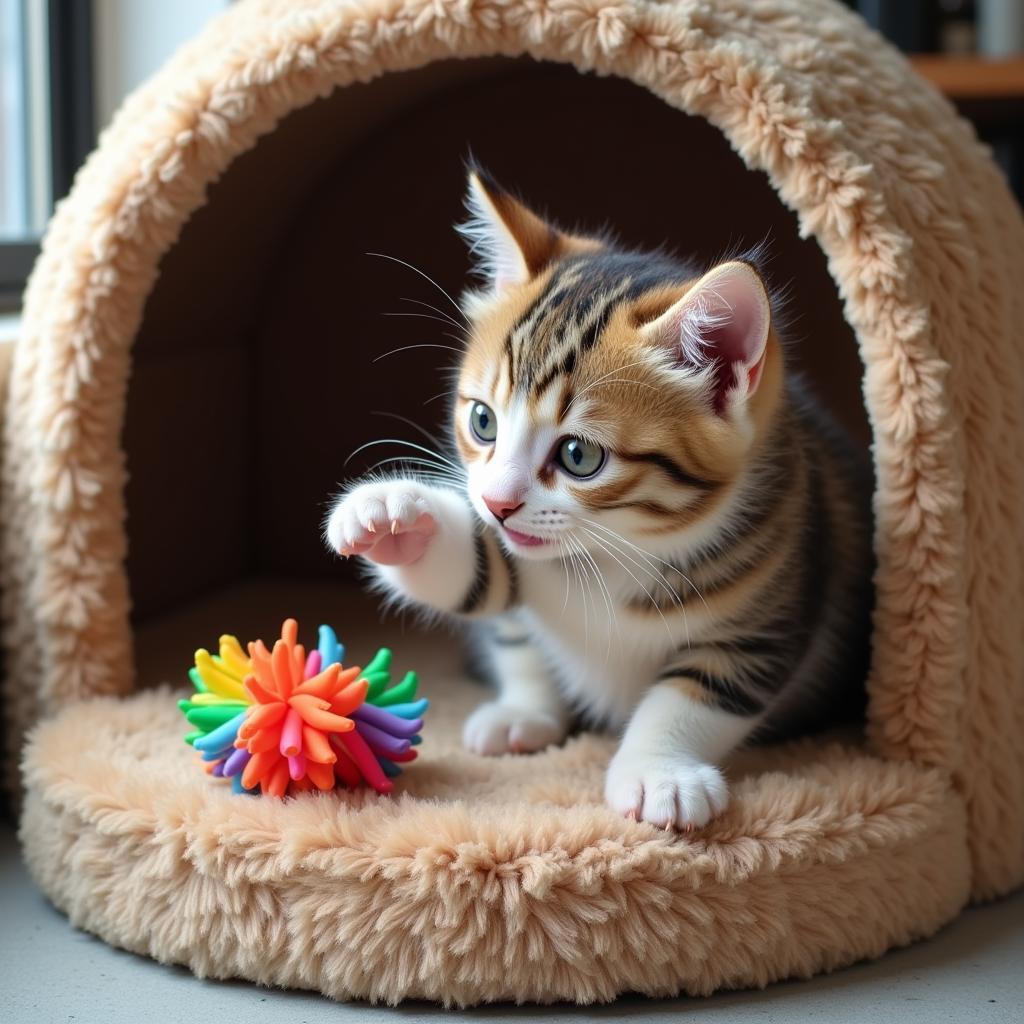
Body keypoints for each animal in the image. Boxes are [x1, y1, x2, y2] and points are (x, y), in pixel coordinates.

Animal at [327, 174, 872, 831]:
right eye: (483, 421)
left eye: (579, 456)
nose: (496, 503)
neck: (619, 549)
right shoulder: (522, 556)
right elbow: (480, 578)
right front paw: (391, 516)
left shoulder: (772, 598)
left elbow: (699, 691)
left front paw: (661, 772)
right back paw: (523, 712)